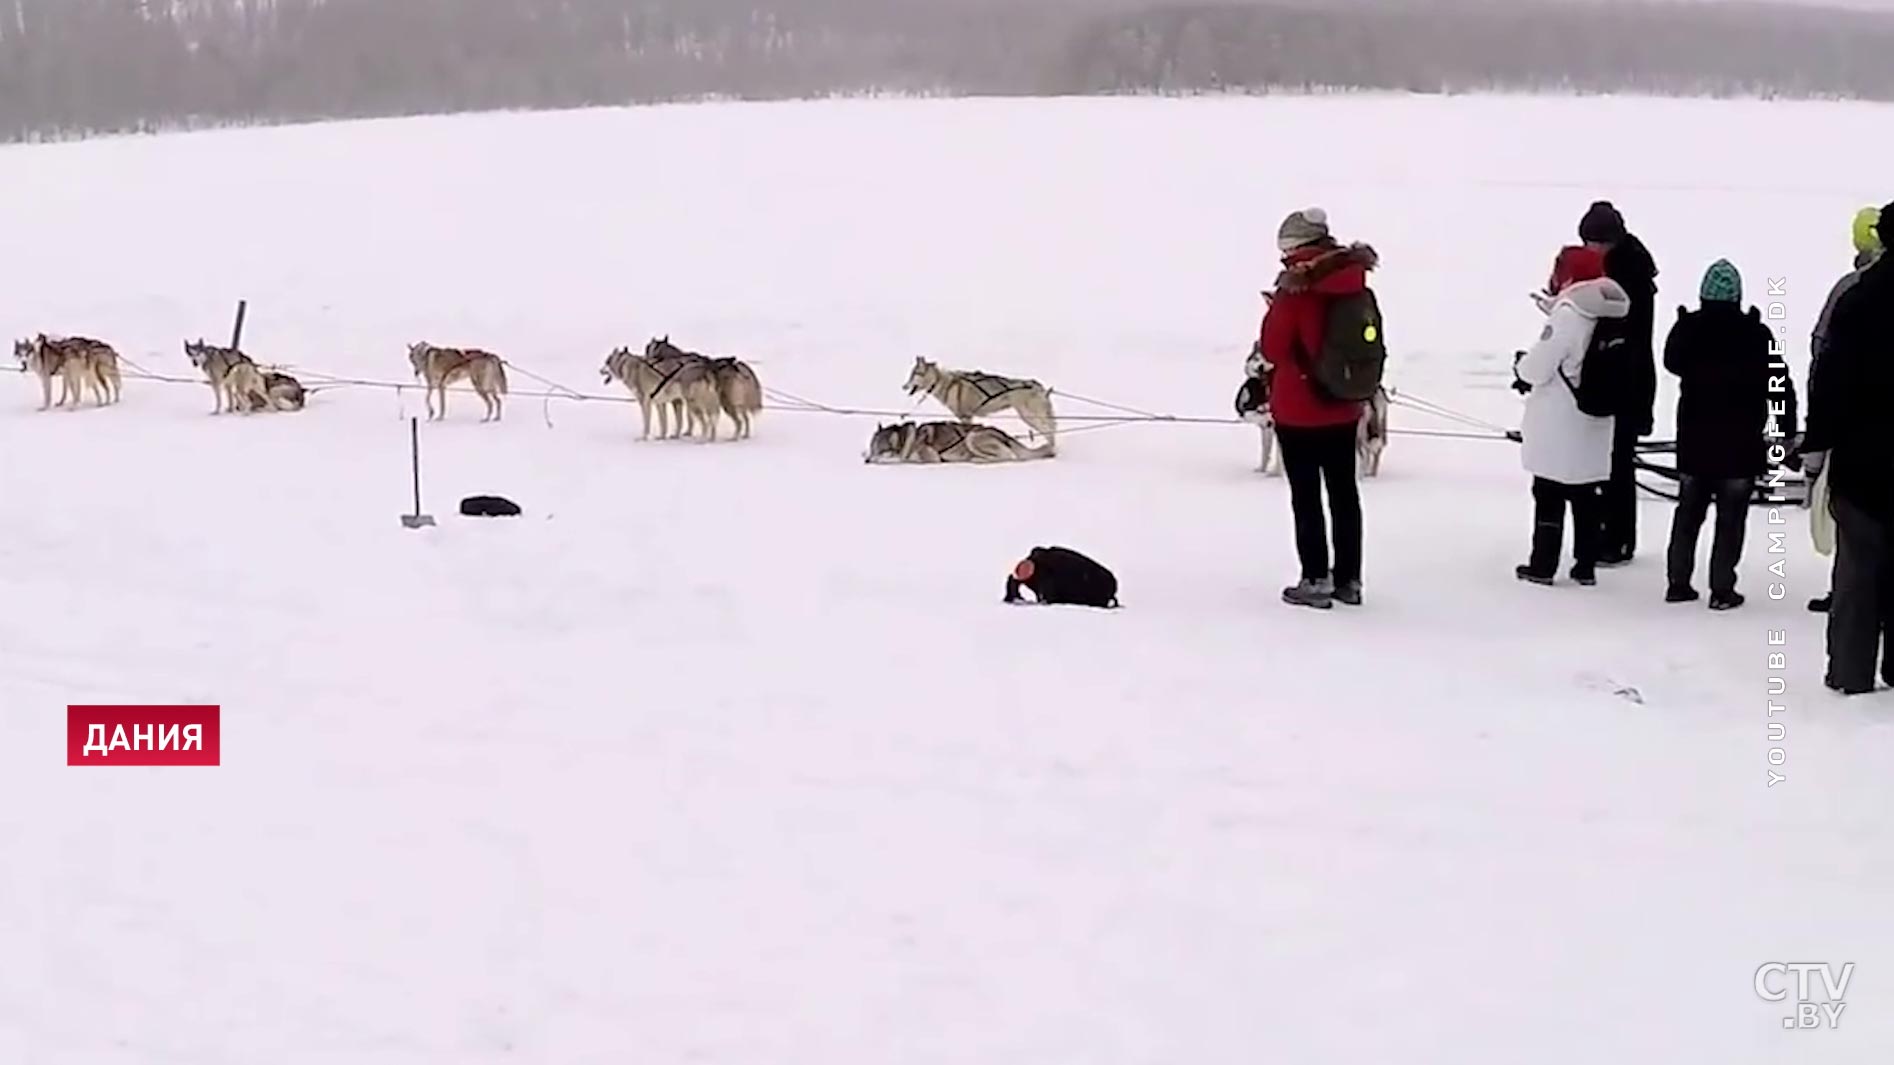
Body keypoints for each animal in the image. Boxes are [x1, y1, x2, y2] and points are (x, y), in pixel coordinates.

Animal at [897, 354, 1053, 449]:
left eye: (913, 375)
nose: (903, 386)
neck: (944, 383)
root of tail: (1039, 386)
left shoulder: (965, 417)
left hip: (1029, 416)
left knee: (1049, 431)